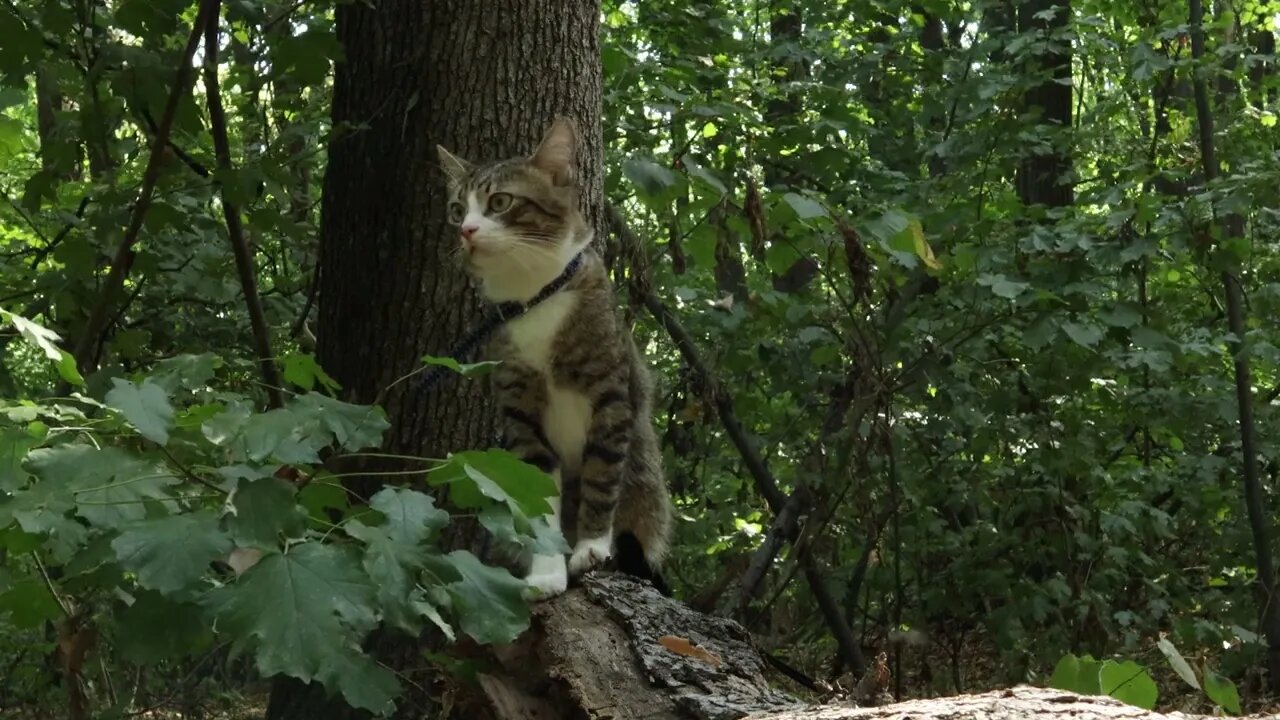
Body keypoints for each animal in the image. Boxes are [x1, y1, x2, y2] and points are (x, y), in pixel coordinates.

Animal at [437, 117, 675, 597]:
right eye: (456, 209)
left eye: (500, 201)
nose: (466, 231)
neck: (534, 297)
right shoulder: (521, 413)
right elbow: (538, 496)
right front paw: (547, 569)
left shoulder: (610, 395)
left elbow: (602, 475)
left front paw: (591, 548)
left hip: (647, 490)